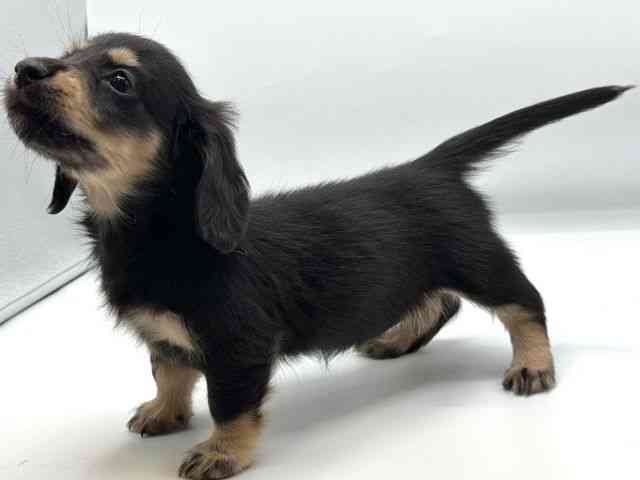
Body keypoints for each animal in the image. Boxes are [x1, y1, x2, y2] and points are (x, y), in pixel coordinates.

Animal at [4, 32, 631, 479]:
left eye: (119, 79)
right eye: (69, 55)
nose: (24, 69)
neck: (162, 235)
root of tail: (429, 167)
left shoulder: (239, 347)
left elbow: (229, 404)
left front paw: (220, 452)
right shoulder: (164, 333)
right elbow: (170, 371)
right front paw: (164, 413)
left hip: (480, 261)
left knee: (525, 303)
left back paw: (533, 364)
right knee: (442, 303)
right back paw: (397, 340)